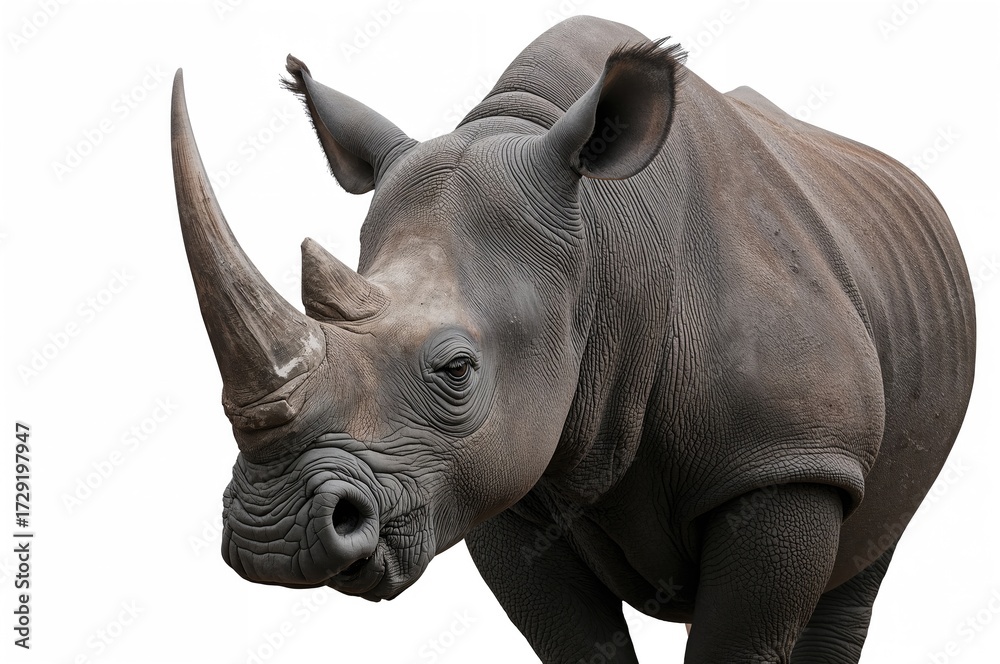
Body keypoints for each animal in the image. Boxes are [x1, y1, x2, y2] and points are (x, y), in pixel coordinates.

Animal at [171, 16, 975, 663]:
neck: (602, 251)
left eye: (458, 370)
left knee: (866, 559)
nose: (275, 534)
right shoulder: (497, 476)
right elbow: (578, 643)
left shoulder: (791, 458)